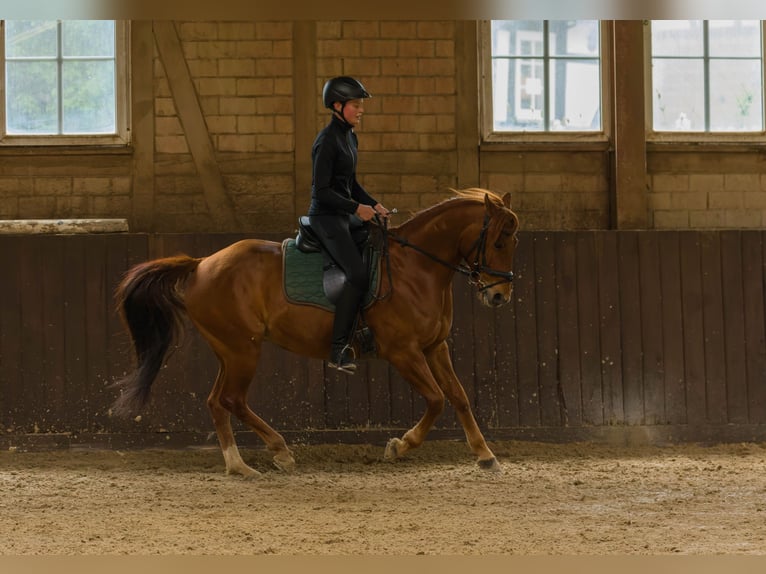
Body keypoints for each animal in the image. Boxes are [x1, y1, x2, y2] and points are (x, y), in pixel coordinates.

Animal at [112, 189, 520, 476]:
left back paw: (238, 464)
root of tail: (200, 265)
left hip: (229, 350)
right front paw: (399, 446)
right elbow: (436, 400)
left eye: (511, 241)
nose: (500, 295)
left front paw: (485, 455)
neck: (416, 267)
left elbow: (459, 396)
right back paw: (278, 451)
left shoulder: (435, 346)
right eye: (499, 240)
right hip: (243, 350)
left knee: (217, 401)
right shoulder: (403, 351)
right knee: (232, 399)